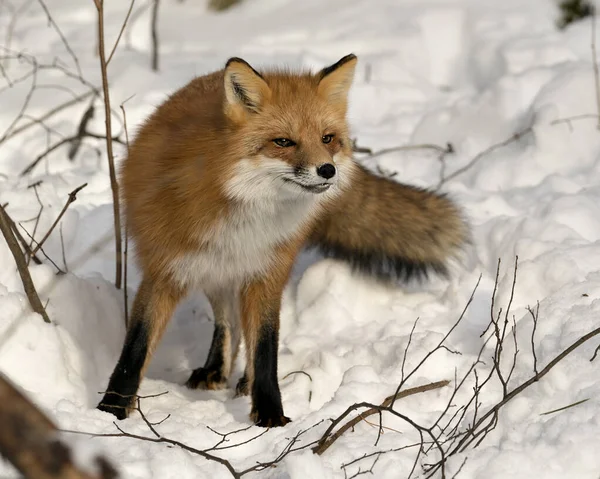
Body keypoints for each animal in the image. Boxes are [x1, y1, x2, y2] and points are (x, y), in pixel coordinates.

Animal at [96, 54, 466, 430]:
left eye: (327, 138)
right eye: (283, 142)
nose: (328, 170)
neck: (241, 208)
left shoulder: (266, 274)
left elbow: (264, 347)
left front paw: (270, 415)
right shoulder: (164, 268)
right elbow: (136, 347)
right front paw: (111, 410)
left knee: (242, 329)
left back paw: (242, 381)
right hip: (213, 270)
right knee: (227, 322)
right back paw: (216, 369)